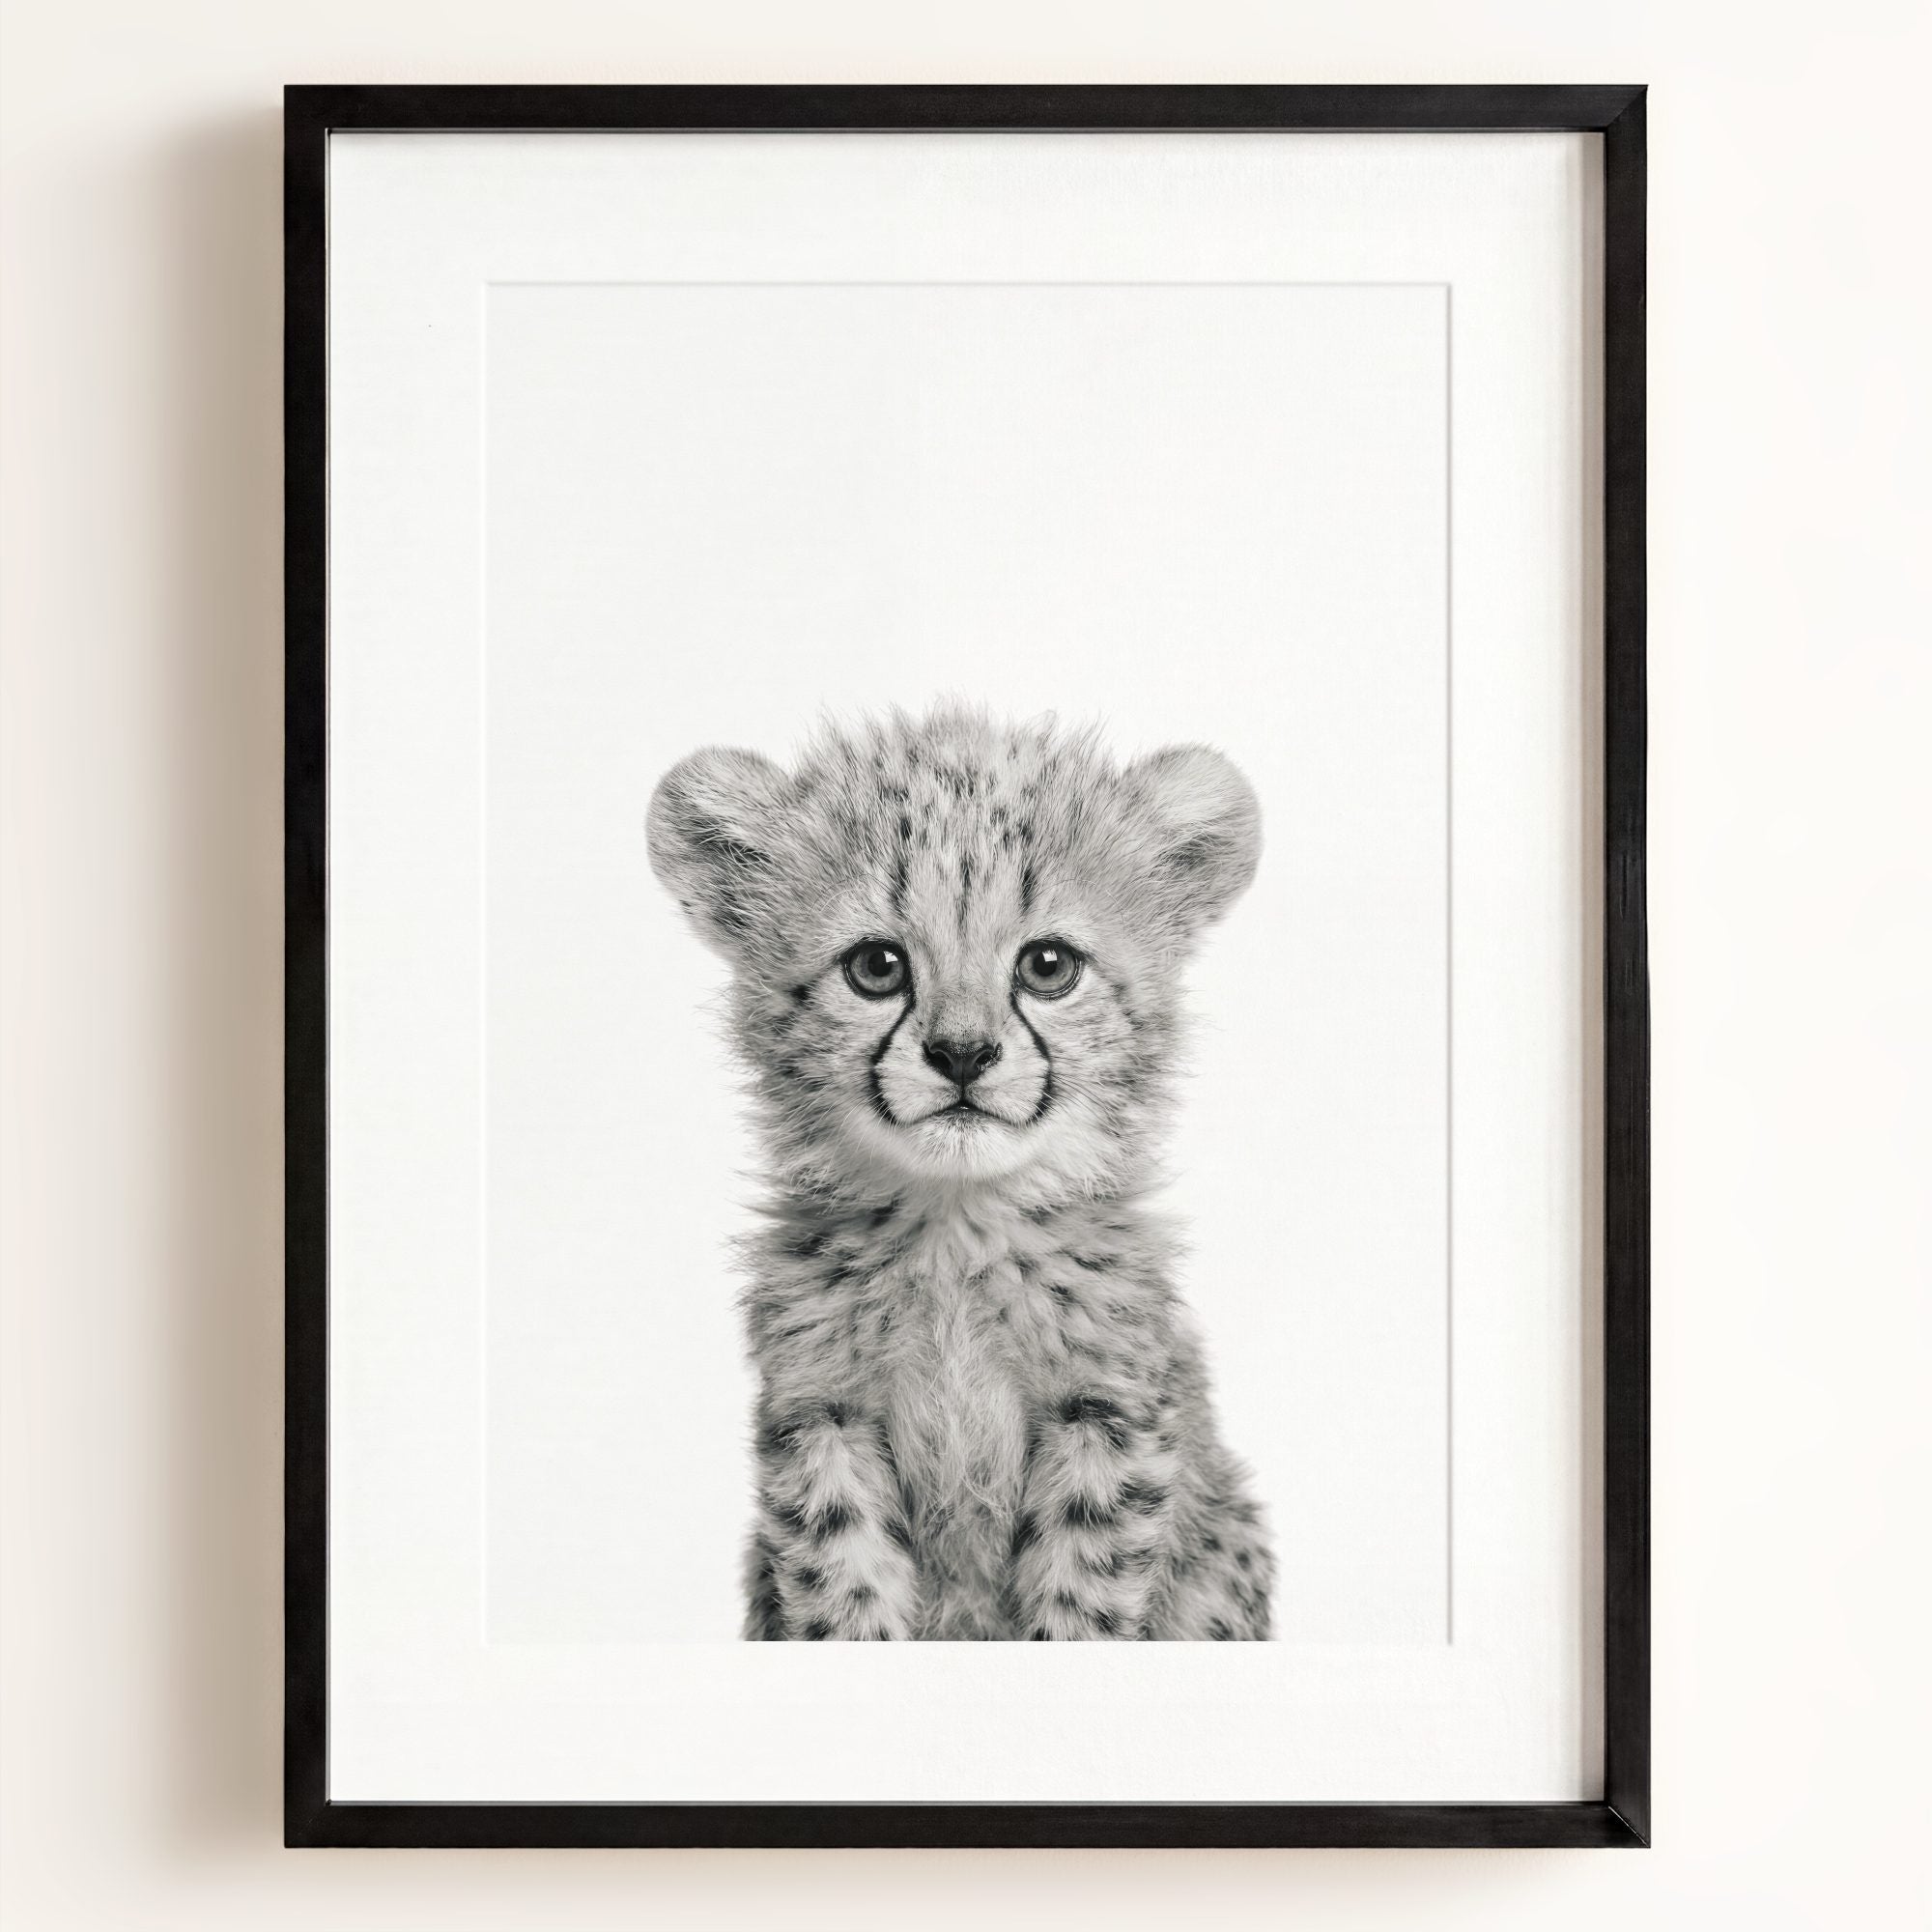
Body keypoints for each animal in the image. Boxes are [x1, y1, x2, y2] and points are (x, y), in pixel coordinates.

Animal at [648, 704, 1273, 1639]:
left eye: (1048, 966)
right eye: (877, 967)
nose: (963, 1054)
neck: (956, 1226)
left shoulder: (1106, 1415)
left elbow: (1082, 1600)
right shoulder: (821, 1418)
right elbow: (844, 1593)